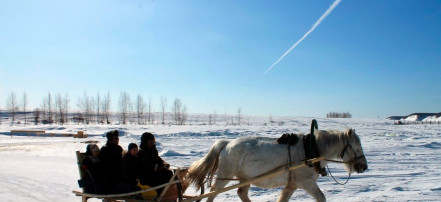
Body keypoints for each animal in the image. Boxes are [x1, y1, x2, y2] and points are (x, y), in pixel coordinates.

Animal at [186, 129, 368, 202]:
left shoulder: (292, 185)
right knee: (212, 193)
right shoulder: (307, 183)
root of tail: (227, 144)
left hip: (244, 178)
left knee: (241, 193)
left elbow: (283, 199)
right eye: (357, 146)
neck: (311, 150)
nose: (364, 167)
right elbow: (321, 198)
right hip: (225, 176)